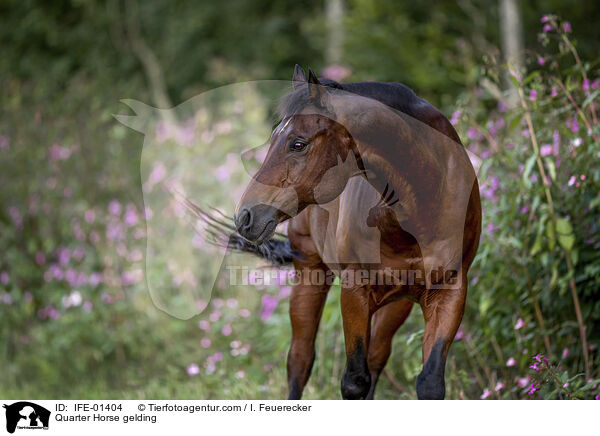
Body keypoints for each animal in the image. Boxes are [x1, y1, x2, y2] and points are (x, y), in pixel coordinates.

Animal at [229, 65, 478, 398]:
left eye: (298, 143)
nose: (245, 216)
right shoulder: (355, 290)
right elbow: (354, 381)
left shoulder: (450, 292)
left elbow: (429, 382)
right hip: (310, 274)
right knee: (300, 360)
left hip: (396, 303)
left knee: (376, 357)